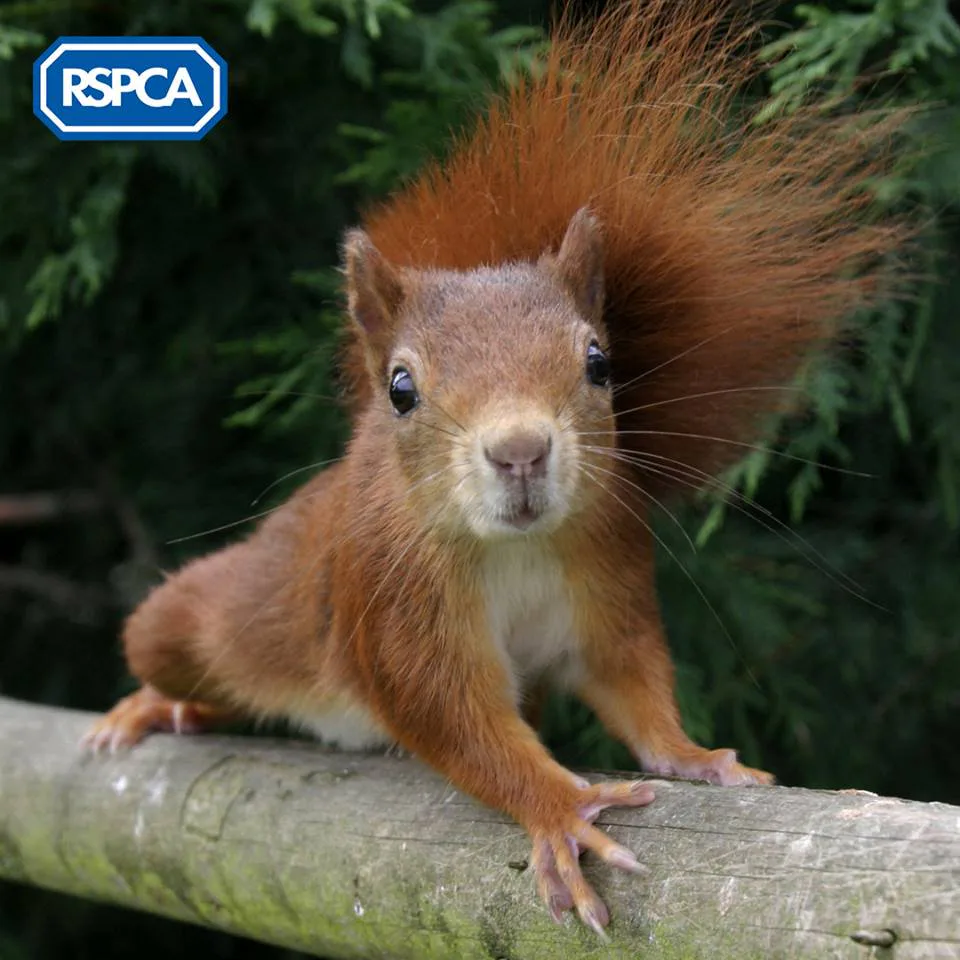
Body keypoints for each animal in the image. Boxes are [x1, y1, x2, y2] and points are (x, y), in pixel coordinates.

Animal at [84, 0, 904, 934]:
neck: (516, 549)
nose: (520, 450)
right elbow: (459, 725)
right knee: (184, 654)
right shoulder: (397, 608)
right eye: (401, 388)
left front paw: (695, 754)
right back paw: (154, 704)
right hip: (218, 611)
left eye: (600, 362)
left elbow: (632, 679)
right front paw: (562, 809)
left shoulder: (607, 571)